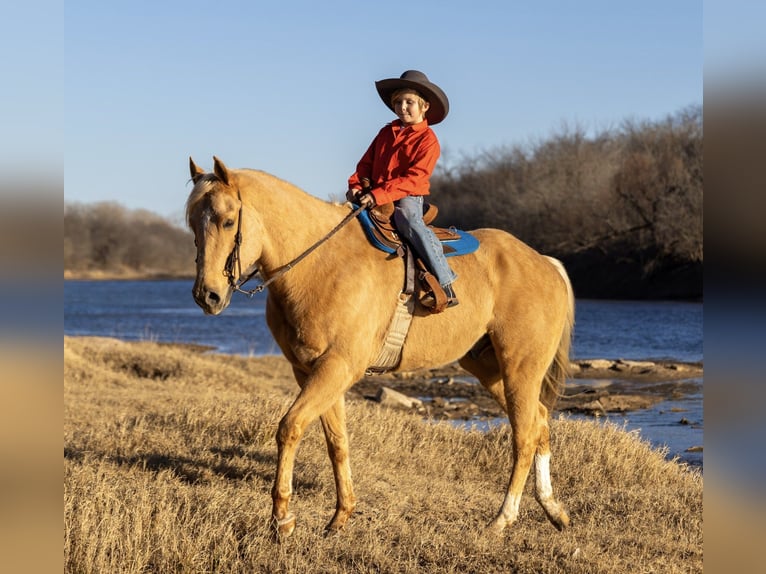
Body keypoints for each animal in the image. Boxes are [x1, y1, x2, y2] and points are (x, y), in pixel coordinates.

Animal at [186, 156, 575, 538]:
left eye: (228, 221)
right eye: (192, 224)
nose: (208, 296)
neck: (320, 265)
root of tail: (546, 263)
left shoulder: (338, 367)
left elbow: (290, 427)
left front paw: (282, 519)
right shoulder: (312, 371)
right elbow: (337, 441)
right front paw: (341, 516)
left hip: (520, 369)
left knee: (524, 435)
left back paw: (502, 519)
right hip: (490, 370)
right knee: (539, 421)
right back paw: (553, 510)